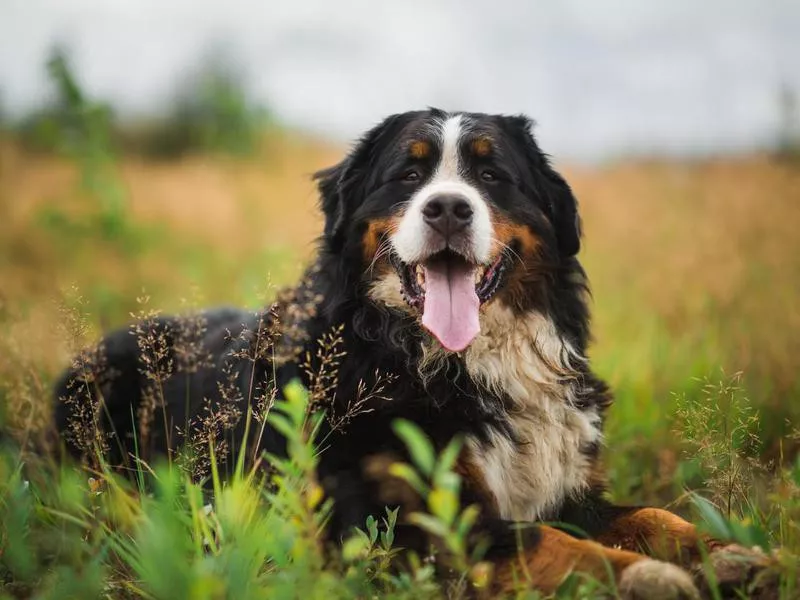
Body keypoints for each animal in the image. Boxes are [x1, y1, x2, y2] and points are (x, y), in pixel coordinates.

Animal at [54, 109, 768, 600]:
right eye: (408, 174)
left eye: (490, 174)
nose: (448, 207)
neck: (457, 364)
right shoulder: (408, 524)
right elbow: (552, 543)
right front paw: (648, 577)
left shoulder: (566, 488)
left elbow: (651, 512)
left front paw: (729, 553)